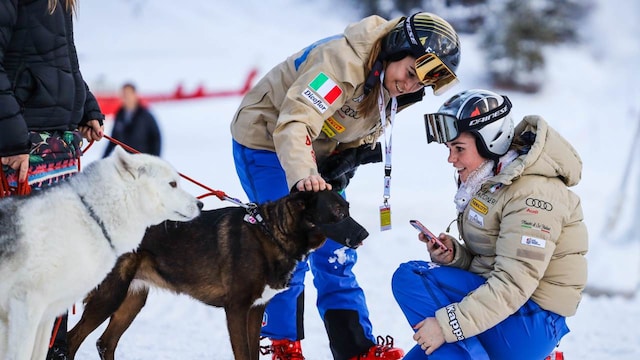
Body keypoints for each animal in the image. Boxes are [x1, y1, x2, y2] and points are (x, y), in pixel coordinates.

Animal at [67, 190, 368, 358]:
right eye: (338, 212)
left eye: (348, 208)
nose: (365, 234)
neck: (270, 234)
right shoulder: (236, 309)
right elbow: (243, 355)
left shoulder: (256, 310)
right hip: (110, 294)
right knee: (70, 341)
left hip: (132, 297)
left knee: (105, 343)